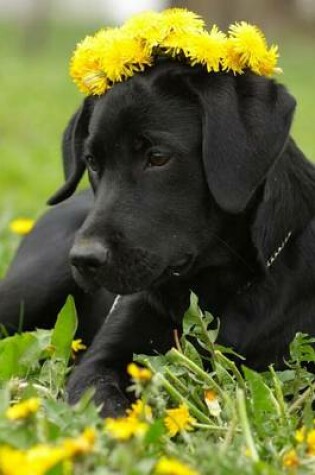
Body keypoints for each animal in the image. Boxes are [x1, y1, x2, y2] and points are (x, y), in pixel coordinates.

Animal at [0, 62, 315, 416]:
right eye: (92, 161)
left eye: (158, 157)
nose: (83, 259)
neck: (219, 291)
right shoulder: (100, 362)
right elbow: (106, 407)